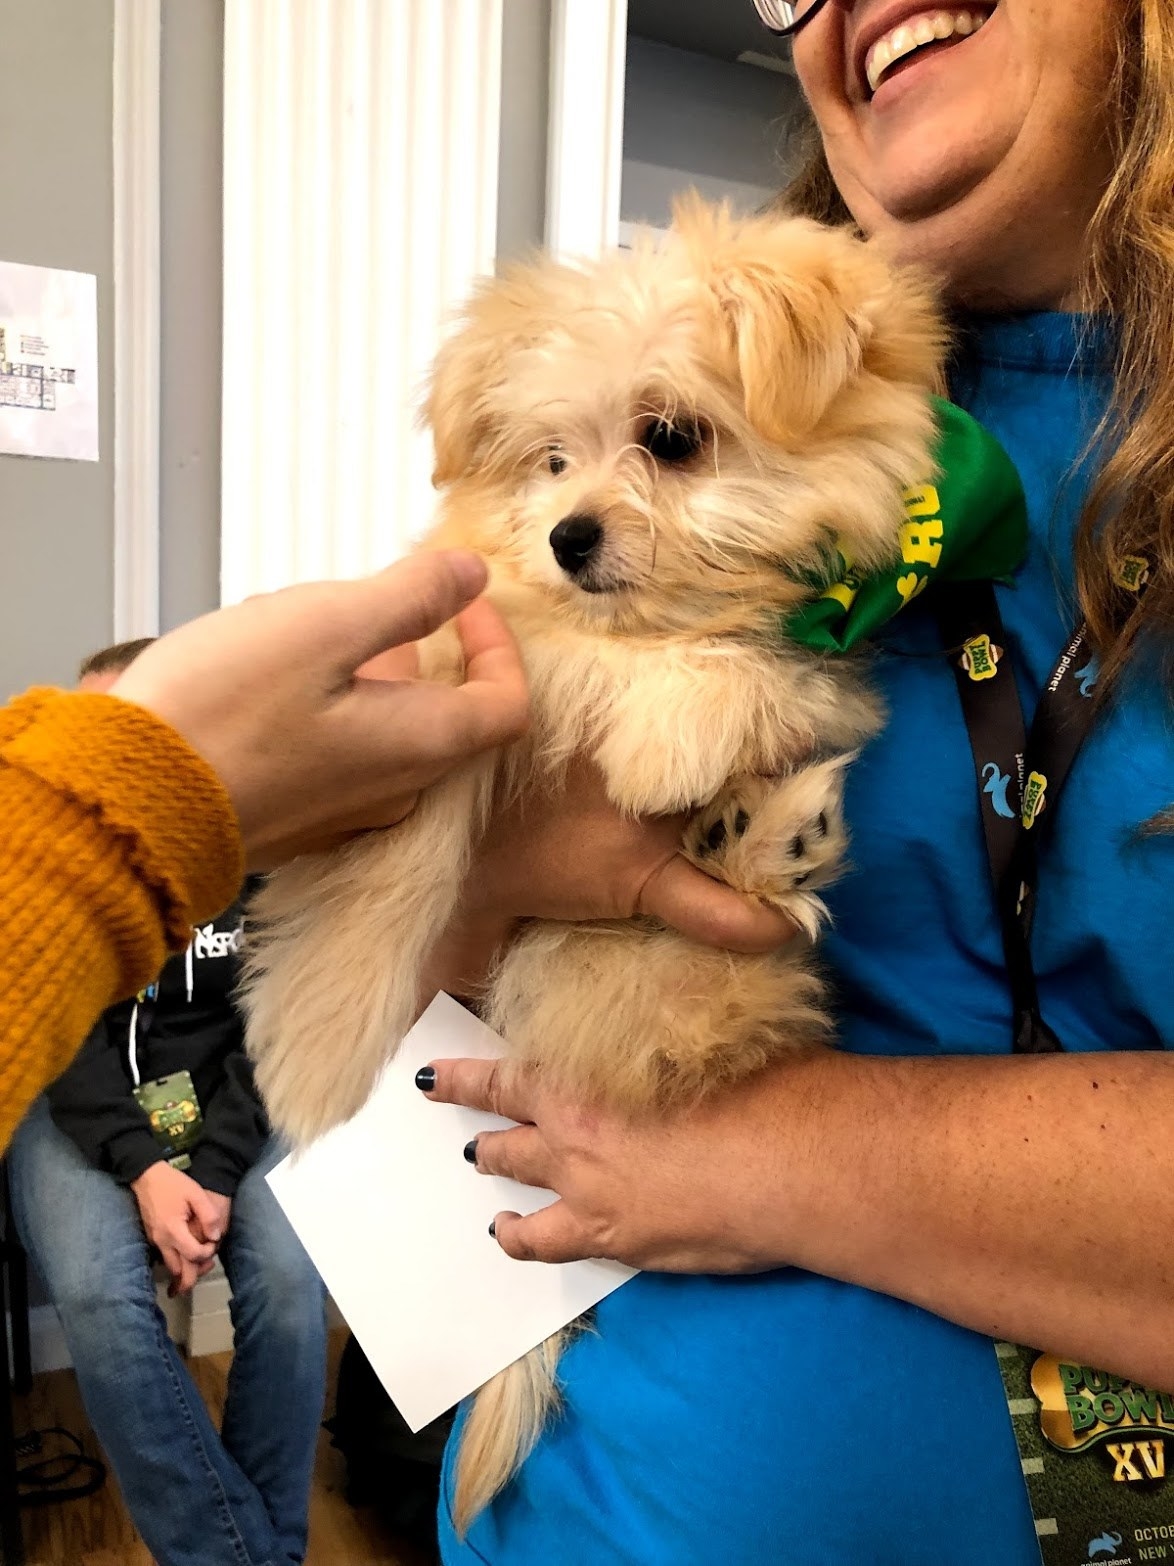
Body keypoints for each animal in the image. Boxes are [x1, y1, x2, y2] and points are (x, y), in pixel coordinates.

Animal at [245, 198, 945, 1528]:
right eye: (547, 461)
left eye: (669, 438)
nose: (568, 538)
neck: (608, 642)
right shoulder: (467, 666)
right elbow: (409, 842)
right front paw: (324, 1043)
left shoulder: (805, 663)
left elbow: (747, 674)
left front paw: (677, 737)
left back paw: (769, 838)